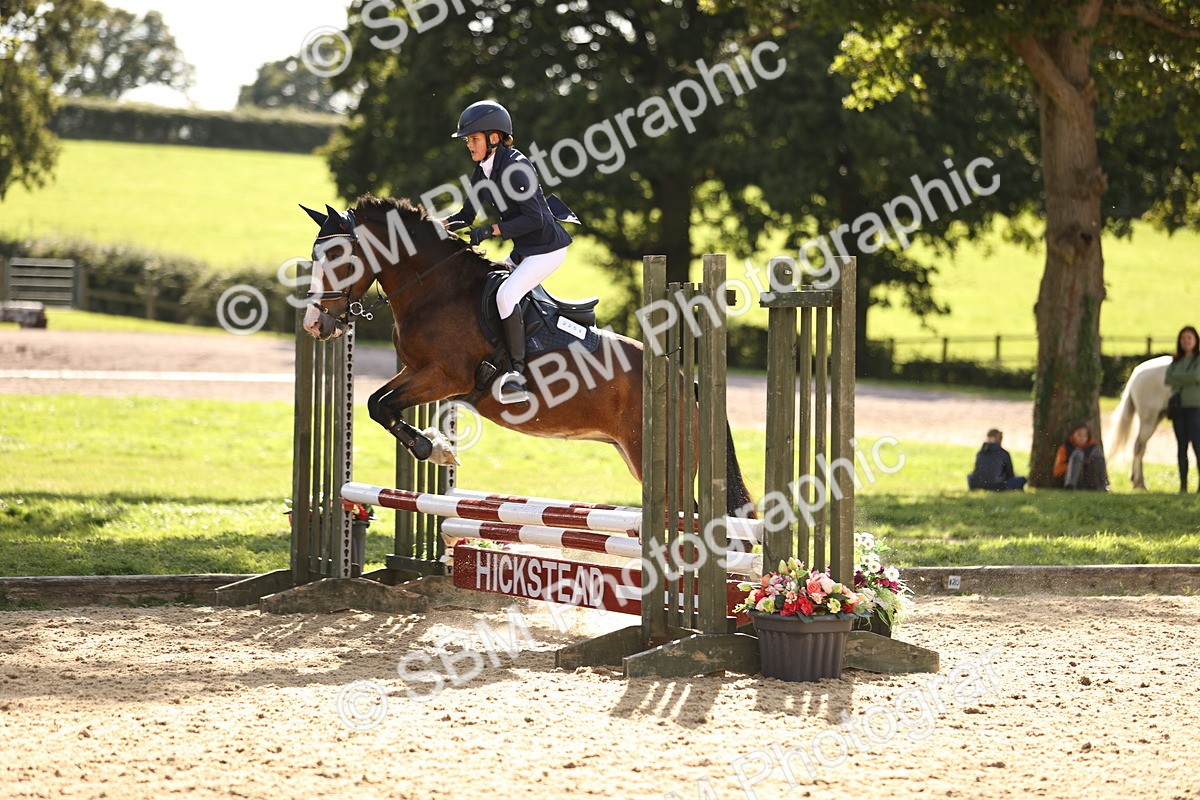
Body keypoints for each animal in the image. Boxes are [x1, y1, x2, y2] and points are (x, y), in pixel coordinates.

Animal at [299, 195, 756, 517]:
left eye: (338, 257)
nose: (314, 324)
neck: (435, 289)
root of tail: (685, 381)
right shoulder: (419, 372)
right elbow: (378, 403)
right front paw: (437, 445)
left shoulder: (446, 377)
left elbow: (382, 405)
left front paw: (435, 448)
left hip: (661, 464)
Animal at [1108, 355, 1172, 489]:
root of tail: (1136, 374)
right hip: (1149, 420)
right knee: (1139, 446)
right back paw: (1139, 483)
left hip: (1156, 418)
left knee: (1140, 447)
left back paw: (1136, 480)